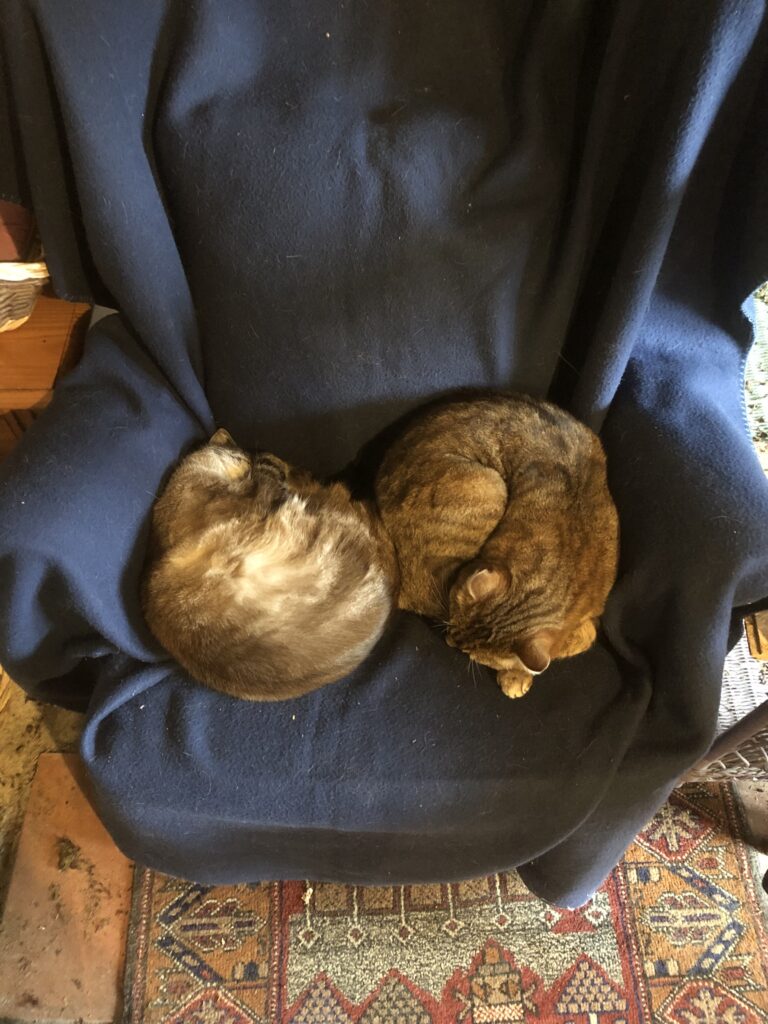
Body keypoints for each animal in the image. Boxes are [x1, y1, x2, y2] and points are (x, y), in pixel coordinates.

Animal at [376, 389, 622, 696]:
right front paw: (518, 675)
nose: (450, 642)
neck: (573, 559)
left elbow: (578, 639)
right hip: (487, 484)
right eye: (457, 640)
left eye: (470, 654)